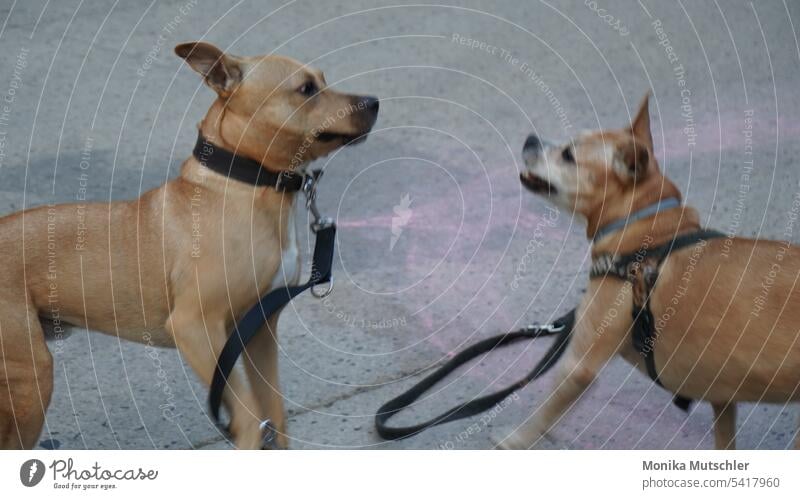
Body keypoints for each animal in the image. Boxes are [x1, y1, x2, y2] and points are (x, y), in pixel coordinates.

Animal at [0, 42, 378, 450]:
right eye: (306, 89)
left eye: (323, 80)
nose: (374, 102)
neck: (245, 186)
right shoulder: (195, 327)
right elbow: (249, 417)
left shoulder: (259, 331)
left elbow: (275, 414)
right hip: (31, 380)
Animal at [496, 95, 800, 452]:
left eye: (569, 155)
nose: (530, 139)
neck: (647, 228)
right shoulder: (722, 395)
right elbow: (725, 438)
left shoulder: (578, 366)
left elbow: (541, 417)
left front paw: (512, 440)